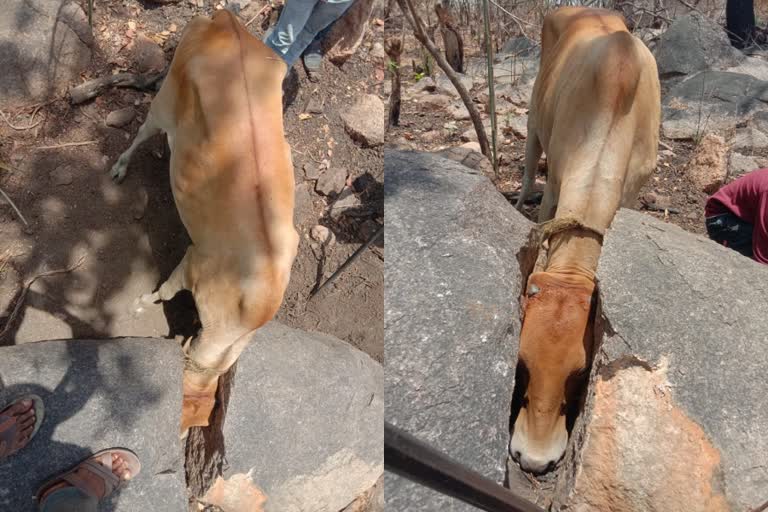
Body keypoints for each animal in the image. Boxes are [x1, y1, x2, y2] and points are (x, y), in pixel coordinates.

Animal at [510, 7, 660, 472]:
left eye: (579, 374)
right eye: (522, 364)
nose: (534, 460)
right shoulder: (556, 186)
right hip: (534, 120)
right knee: (528, 162)